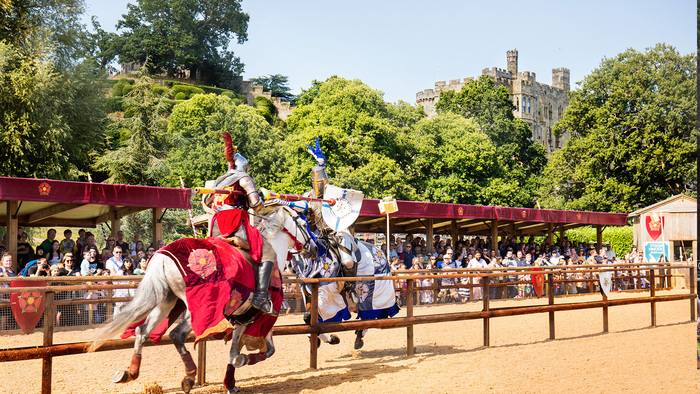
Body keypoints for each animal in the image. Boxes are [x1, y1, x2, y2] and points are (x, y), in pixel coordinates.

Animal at [89, 206, 318, 394]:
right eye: (305, 224)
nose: (316, 248)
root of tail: (163, 257)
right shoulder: (256, 319)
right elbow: (259, 352)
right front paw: (241, 365)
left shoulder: (239, 319)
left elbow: (237, 352)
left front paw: (230, 383)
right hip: (199, 308)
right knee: (176, 335)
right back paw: (189, 376)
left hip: (167, 302)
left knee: (142, 332)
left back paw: (131, 372)